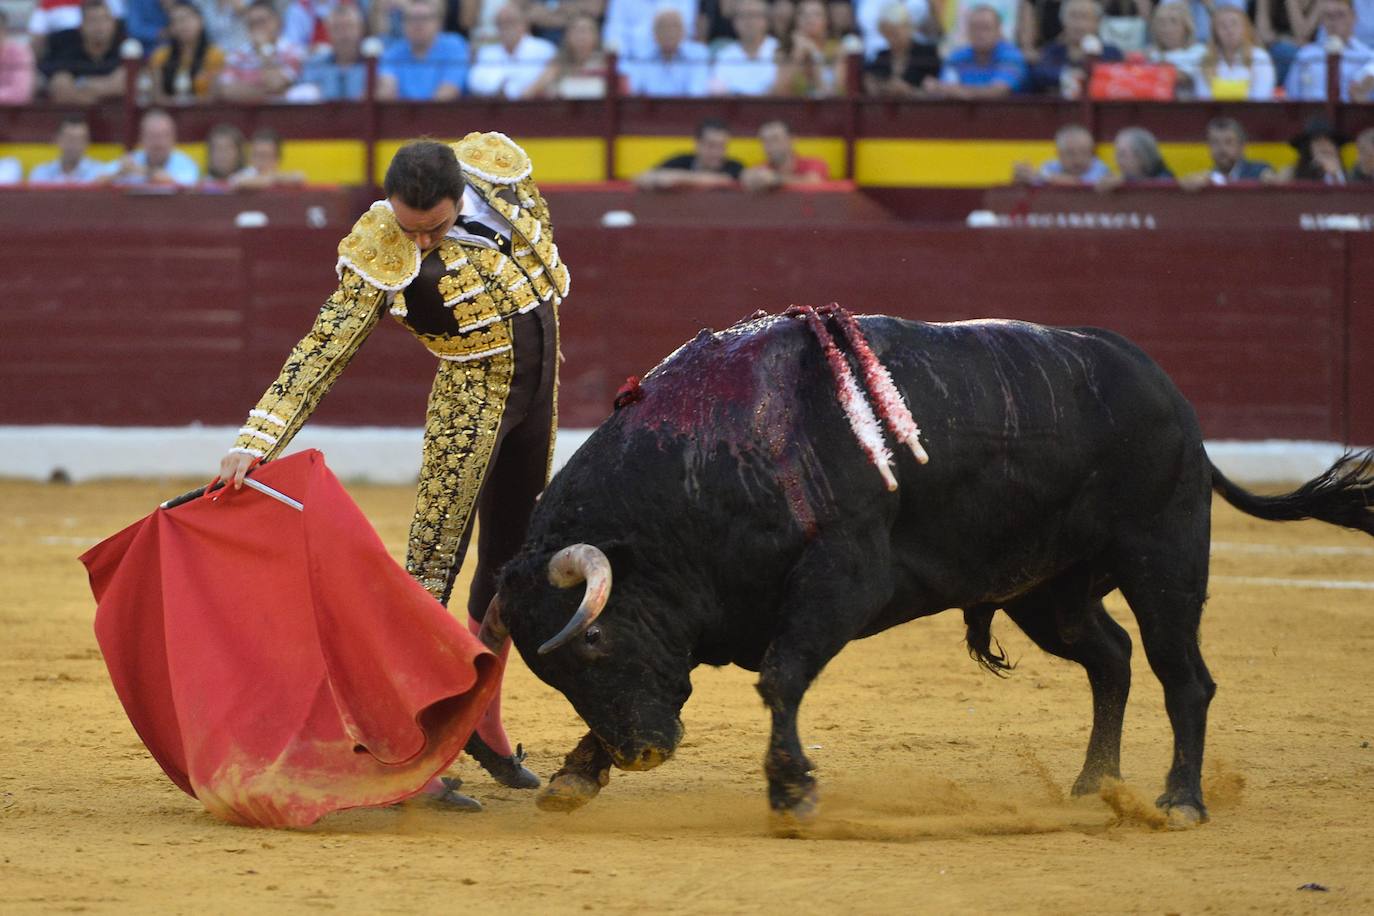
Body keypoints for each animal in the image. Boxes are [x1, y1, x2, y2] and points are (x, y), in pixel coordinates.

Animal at [480, 311, 1374, 829]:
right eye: (551, 672)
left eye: (593, 645)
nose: (641, 754)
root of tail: (1177, 402)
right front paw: (575, 775)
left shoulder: (842, 575)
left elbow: (780, 677)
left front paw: (793, 792)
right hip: (1046, 592)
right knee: (1112, 659)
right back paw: (1095, 785)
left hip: (1165, 556)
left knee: (1182, 674)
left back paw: (1178, 801)